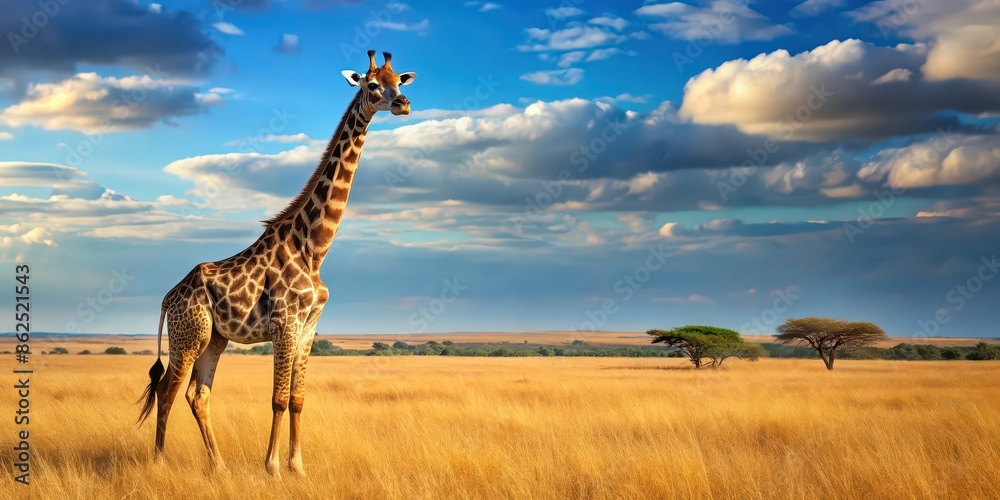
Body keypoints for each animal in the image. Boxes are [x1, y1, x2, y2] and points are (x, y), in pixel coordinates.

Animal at [138, 50, 415, 477]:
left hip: (215, 339)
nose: (403, 103)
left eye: (399, 80)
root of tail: (168, 298)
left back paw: (219, 467)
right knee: (168, 389)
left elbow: (298, 399)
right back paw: (159, 463)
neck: (313, 248)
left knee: (197, 394)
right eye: (372, 84)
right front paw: (272, 467)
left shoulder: (309, 328)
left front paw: (298, 467)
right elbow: (278, 399)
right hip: (190, 335)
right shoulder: (285, 323)